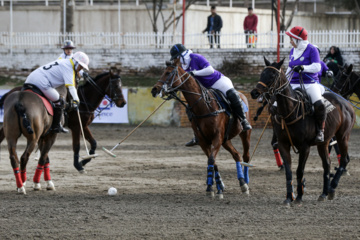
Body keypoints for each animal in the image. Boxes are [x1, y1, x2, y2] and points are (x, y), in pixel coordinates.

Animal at [151, 58, 250, 199]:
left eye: (168, 73)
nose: (154, 90)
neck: (204, 106)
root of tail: (242, 94)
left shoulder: (216, 137)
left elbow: (212, 159)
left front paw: (213, 188)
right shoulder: (204, 141)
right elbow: (212, 162)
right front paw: (216, 188)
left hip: (244, 134)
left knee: (246, 156)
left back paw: (246, 184)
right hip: (226, 140)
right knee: (236, 155)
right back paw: (241, 182)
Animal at [252, 57, 356, 204]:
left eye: (272, 76)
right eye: (262, 74)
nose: (254, 93)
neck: (290, 111)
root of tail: (346, 103)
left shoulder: (305, 146)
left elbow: (299, 170)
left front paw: (299, 196)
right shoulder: (283, 144)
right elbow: (289, 171)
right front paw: (289, 197)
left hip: (343, 136)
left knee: (344, 159)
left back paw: (332, 188)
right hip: (323, 142)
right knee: (327, 164)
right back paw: (324, 193)